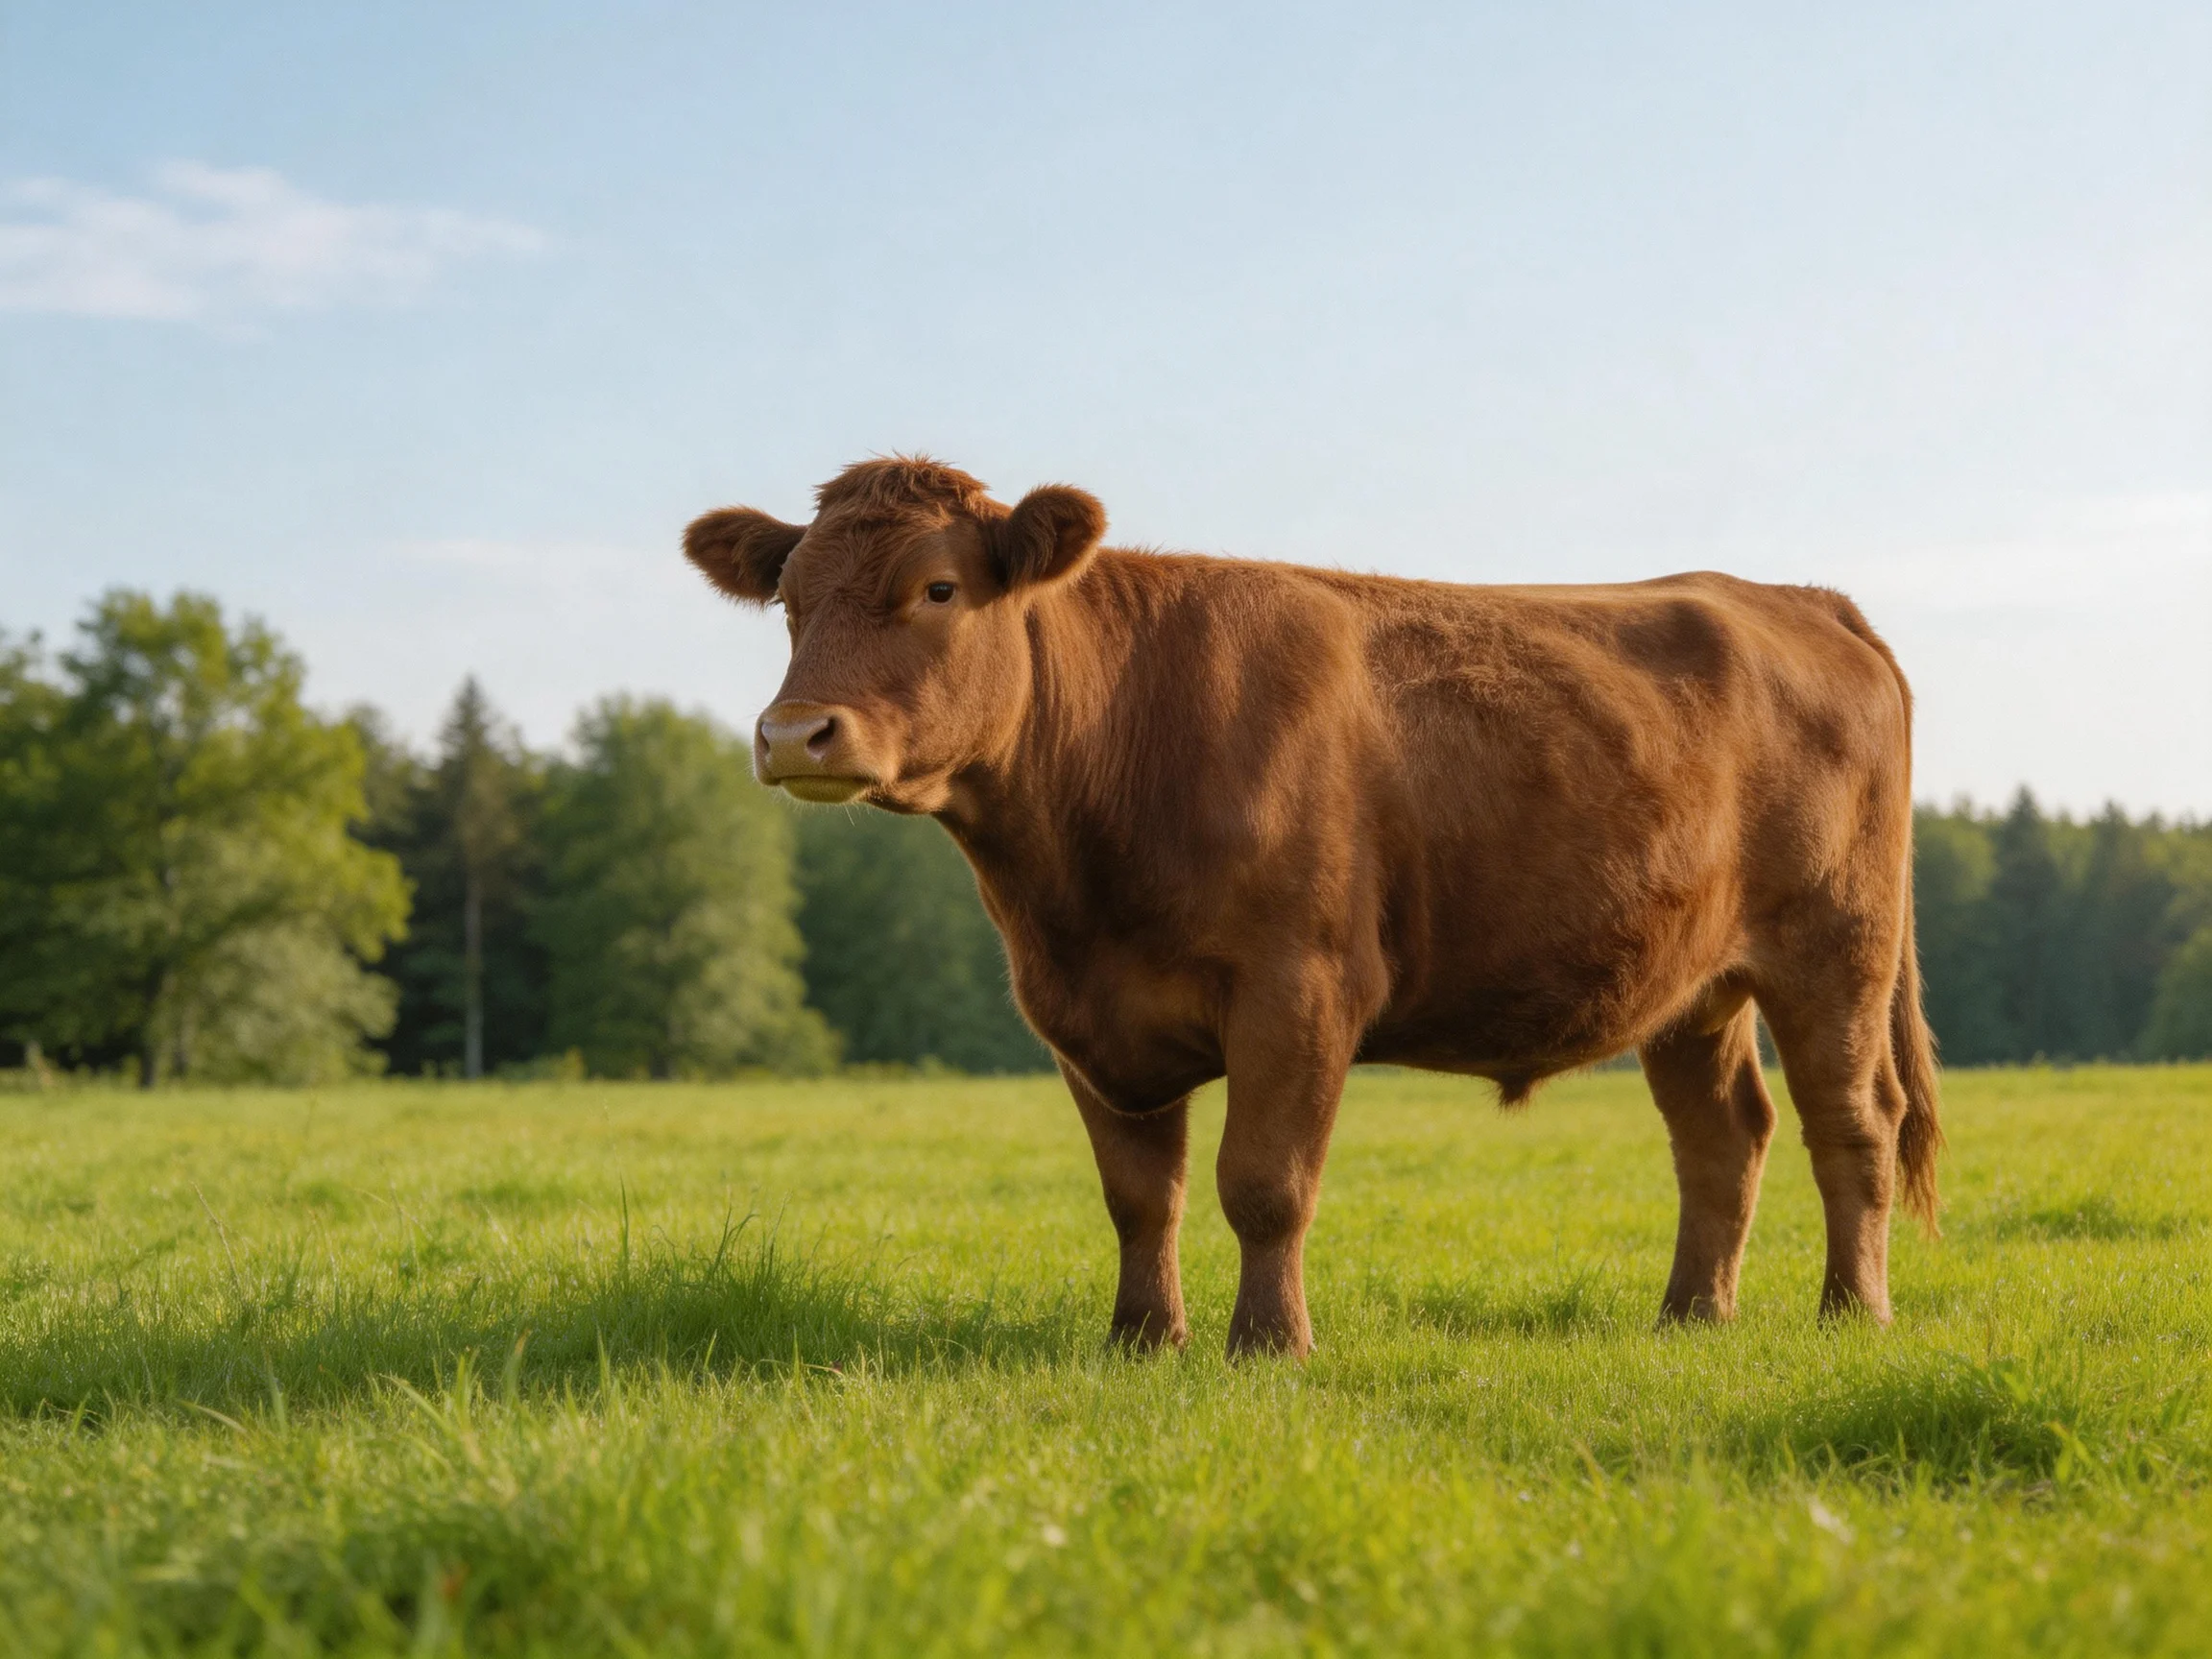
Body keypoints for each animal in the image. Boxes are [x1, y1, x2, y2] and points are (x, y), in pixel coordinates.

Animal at [685, 457, 1942, 1358]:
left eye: (938, 589)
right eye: (790, 603)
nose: (794, 734)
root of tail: (1792, 598)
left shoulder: (1300, 986)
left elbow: (1263, 1183)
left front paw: (1269, 1345)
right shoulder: (1085, 1017)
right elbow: (1140, 1195)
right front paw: (1141, 1340)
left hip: (1837, 949)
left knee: (1853, 1122)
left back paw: (1851, 1313)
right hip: (1691, 982)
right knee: (1724, 1137)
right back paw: (1691, 1316)